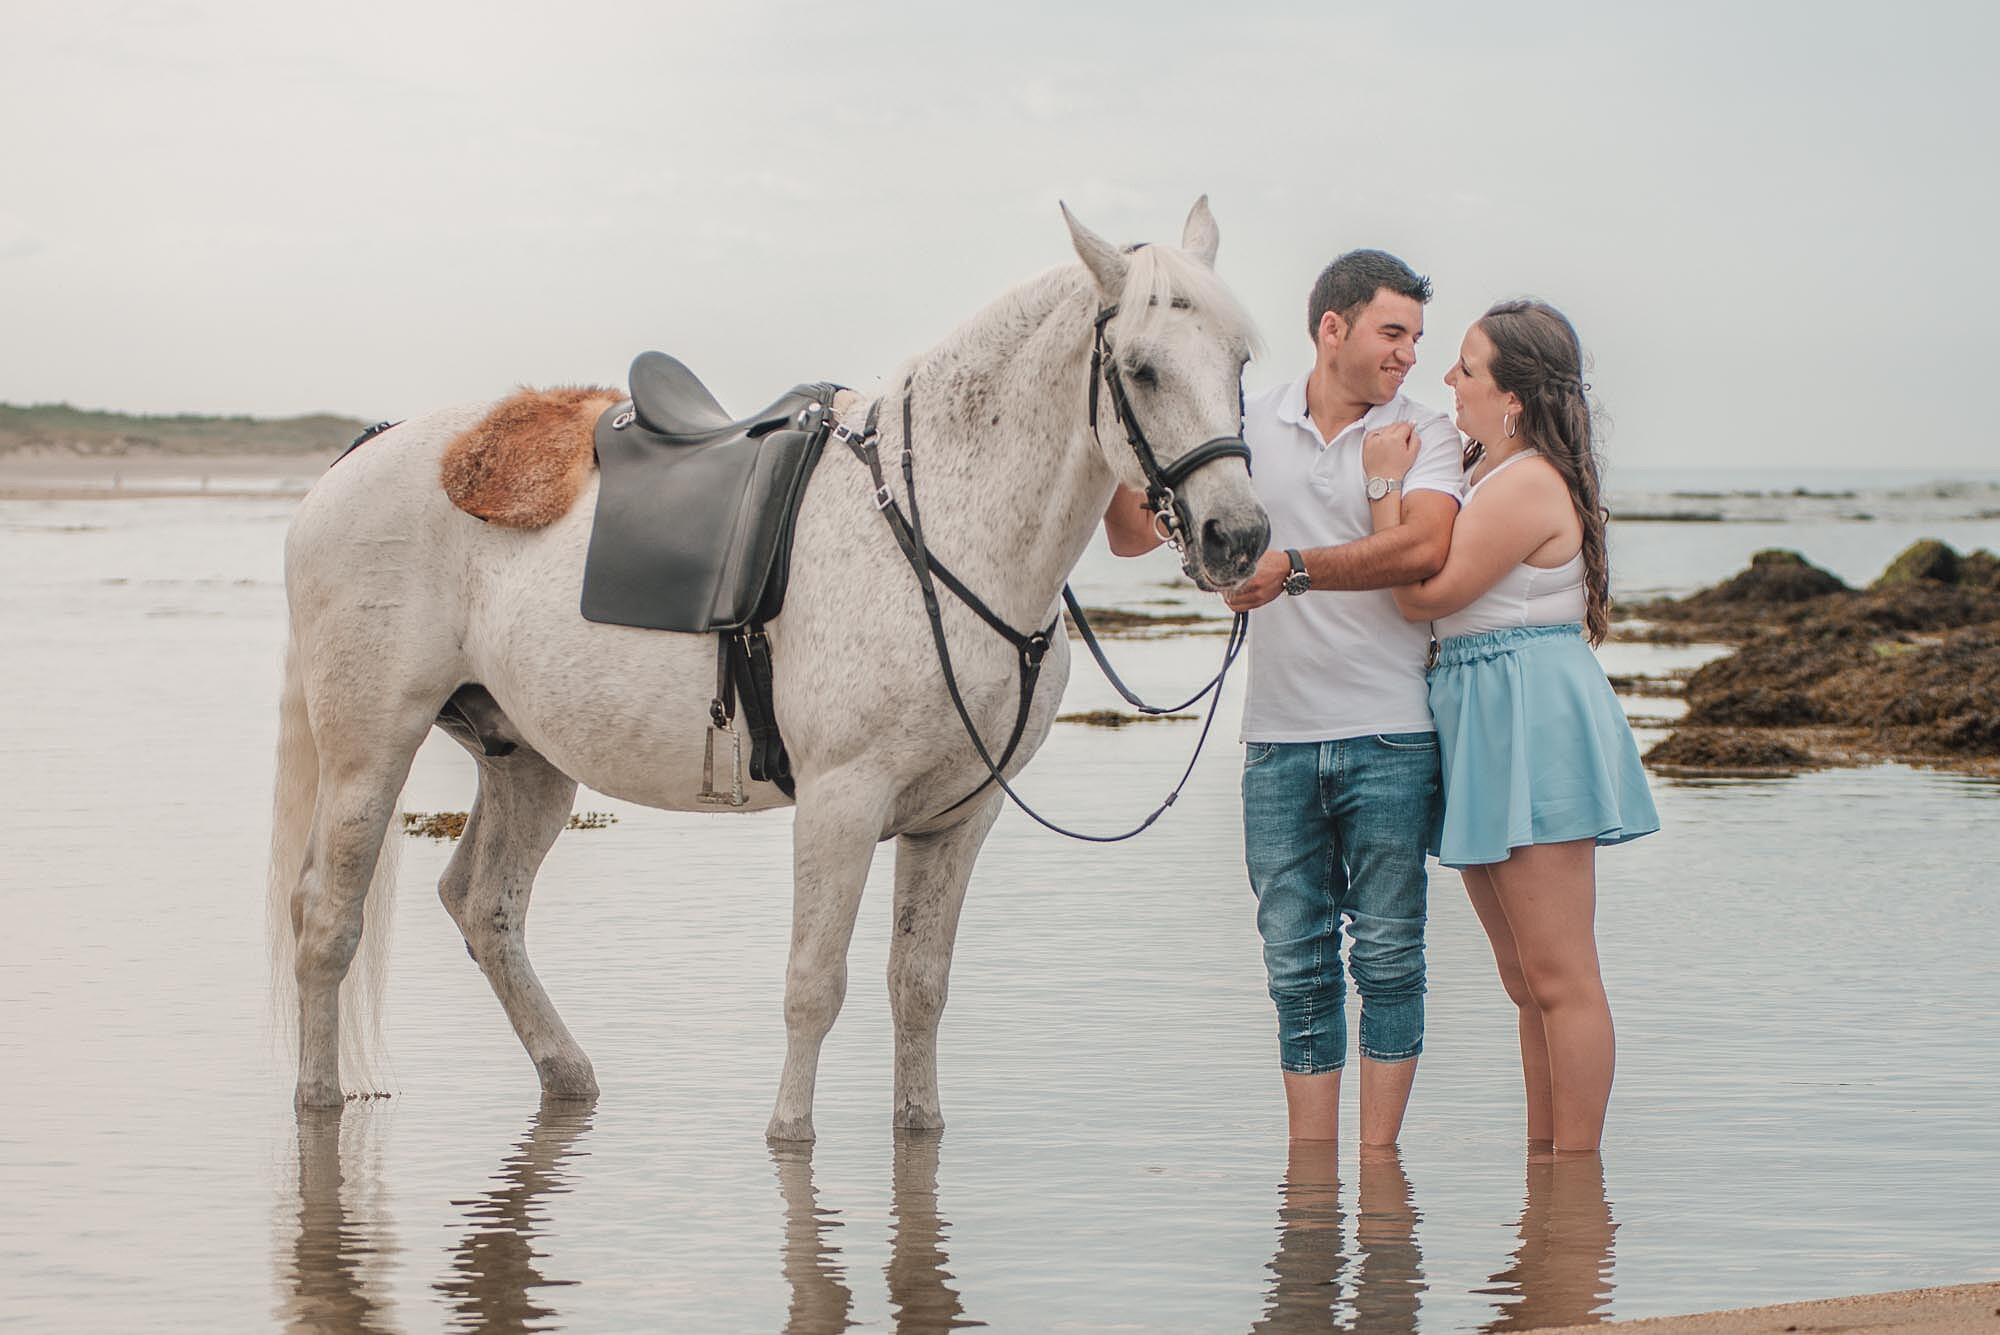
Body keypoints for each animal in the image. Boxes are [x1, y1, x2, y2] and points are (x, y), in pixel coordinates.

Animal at [267, 197, 1270, 1140]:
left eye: (1240, 361)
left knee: (485, 908)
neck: (936, 524)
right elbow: (813, 985)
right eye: (1140, 367)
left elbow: (920, 985)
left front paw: (921, 1130)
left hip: (531, 764)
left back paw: (568, 1076)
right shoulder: (841, 803)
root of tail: (366, 452)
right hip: (370, 753)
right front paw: (790, 1138)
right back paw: (319, 1100)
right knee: (326, 918)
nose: (1238, 536)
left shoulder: (958, 817)